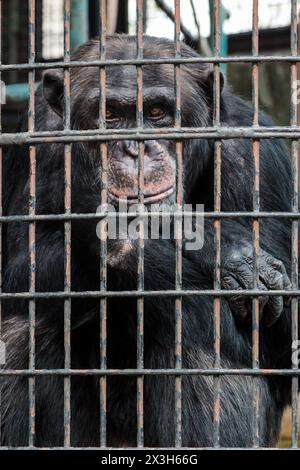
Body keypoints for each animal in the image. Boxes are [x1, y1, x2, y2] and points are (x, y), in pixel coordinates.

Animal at [0, 36, 296, 448]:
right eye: (109, 114)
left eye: (157, 112)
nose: (135, 148)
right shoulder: (35, 142)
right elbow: (19, 270)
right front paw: (219, 245)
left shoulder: (255, 158)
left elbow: (280, 337)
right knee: (21, 333)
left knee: (201, 346)